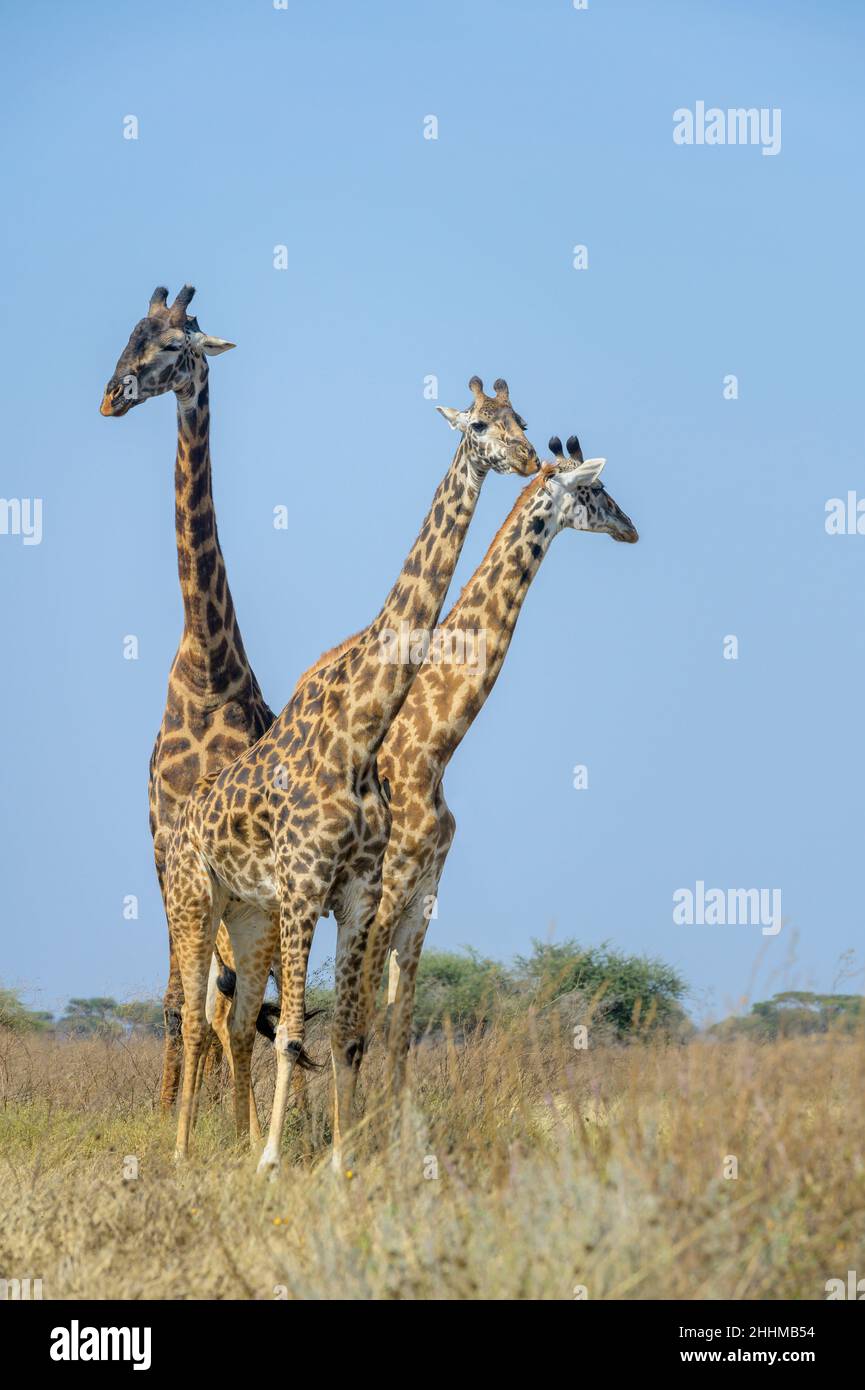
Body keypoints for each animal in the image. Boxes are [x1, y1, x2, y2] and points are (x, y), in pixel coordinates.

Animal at [163, 375, 539, 1167]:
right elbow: (298, 1034)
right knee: (194, 1017)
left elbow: (343, 1033)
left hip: (247, 911)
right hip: (194, 899)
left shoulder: (360, 895)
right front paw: (276, 1160)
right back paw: (181, 1152)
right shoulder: (309, 888)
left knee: (232, 1018)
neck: (360, 736)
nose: (526, 459)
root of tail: (184, 824)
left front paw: (338, 1158)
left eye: (523, 419)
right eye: (481, 425)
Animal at [358, 433, 636, 1095]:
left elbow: (399, 1028)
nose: (632, 528)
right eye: (594, 489)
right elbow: (361, 1021)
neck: (430, 753)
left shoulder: (424, 899)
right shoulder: (384, 894)